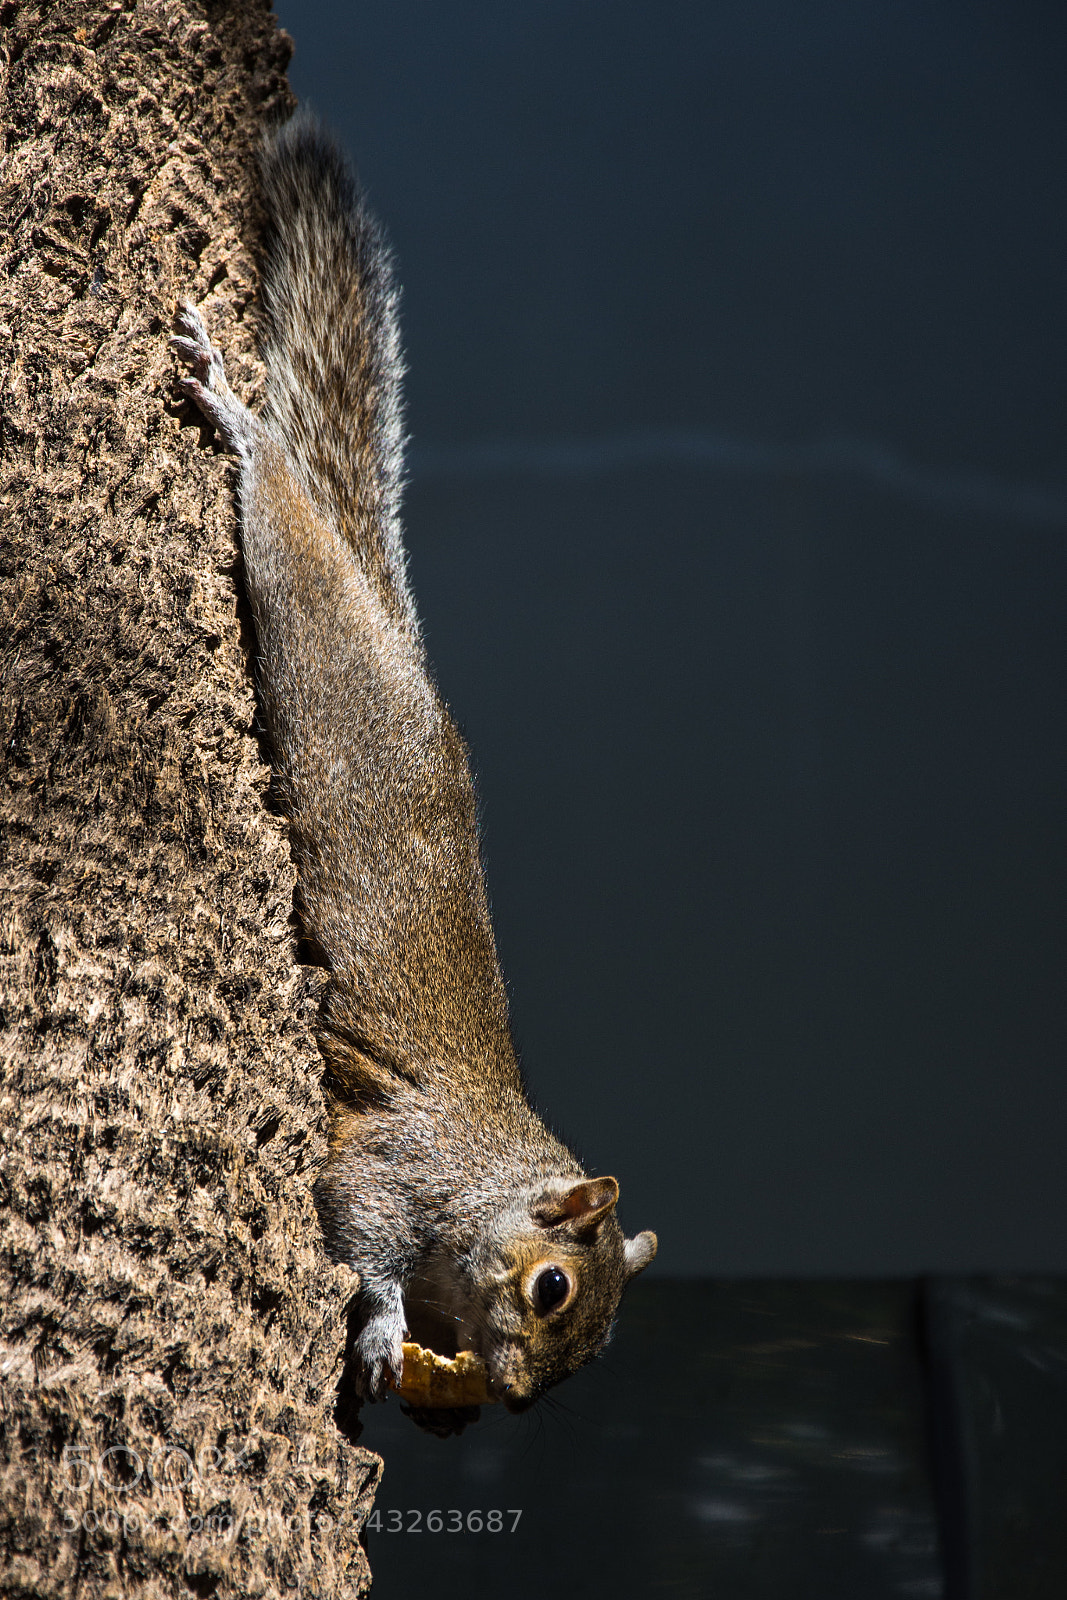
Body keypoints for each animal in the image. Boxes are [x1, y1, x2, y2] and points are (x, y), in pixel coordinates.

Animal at [171, 113, 657, 1421]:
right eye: (550, 1285)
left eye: (597, 1341)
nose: (522, 1399)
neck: (483, 1180)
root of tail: (397, 647)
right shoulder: (395, 1170)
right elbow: (354, 1231)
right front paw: (386, 1324)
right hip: (313, 634)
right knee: (281, 515)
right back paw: (241, 423)